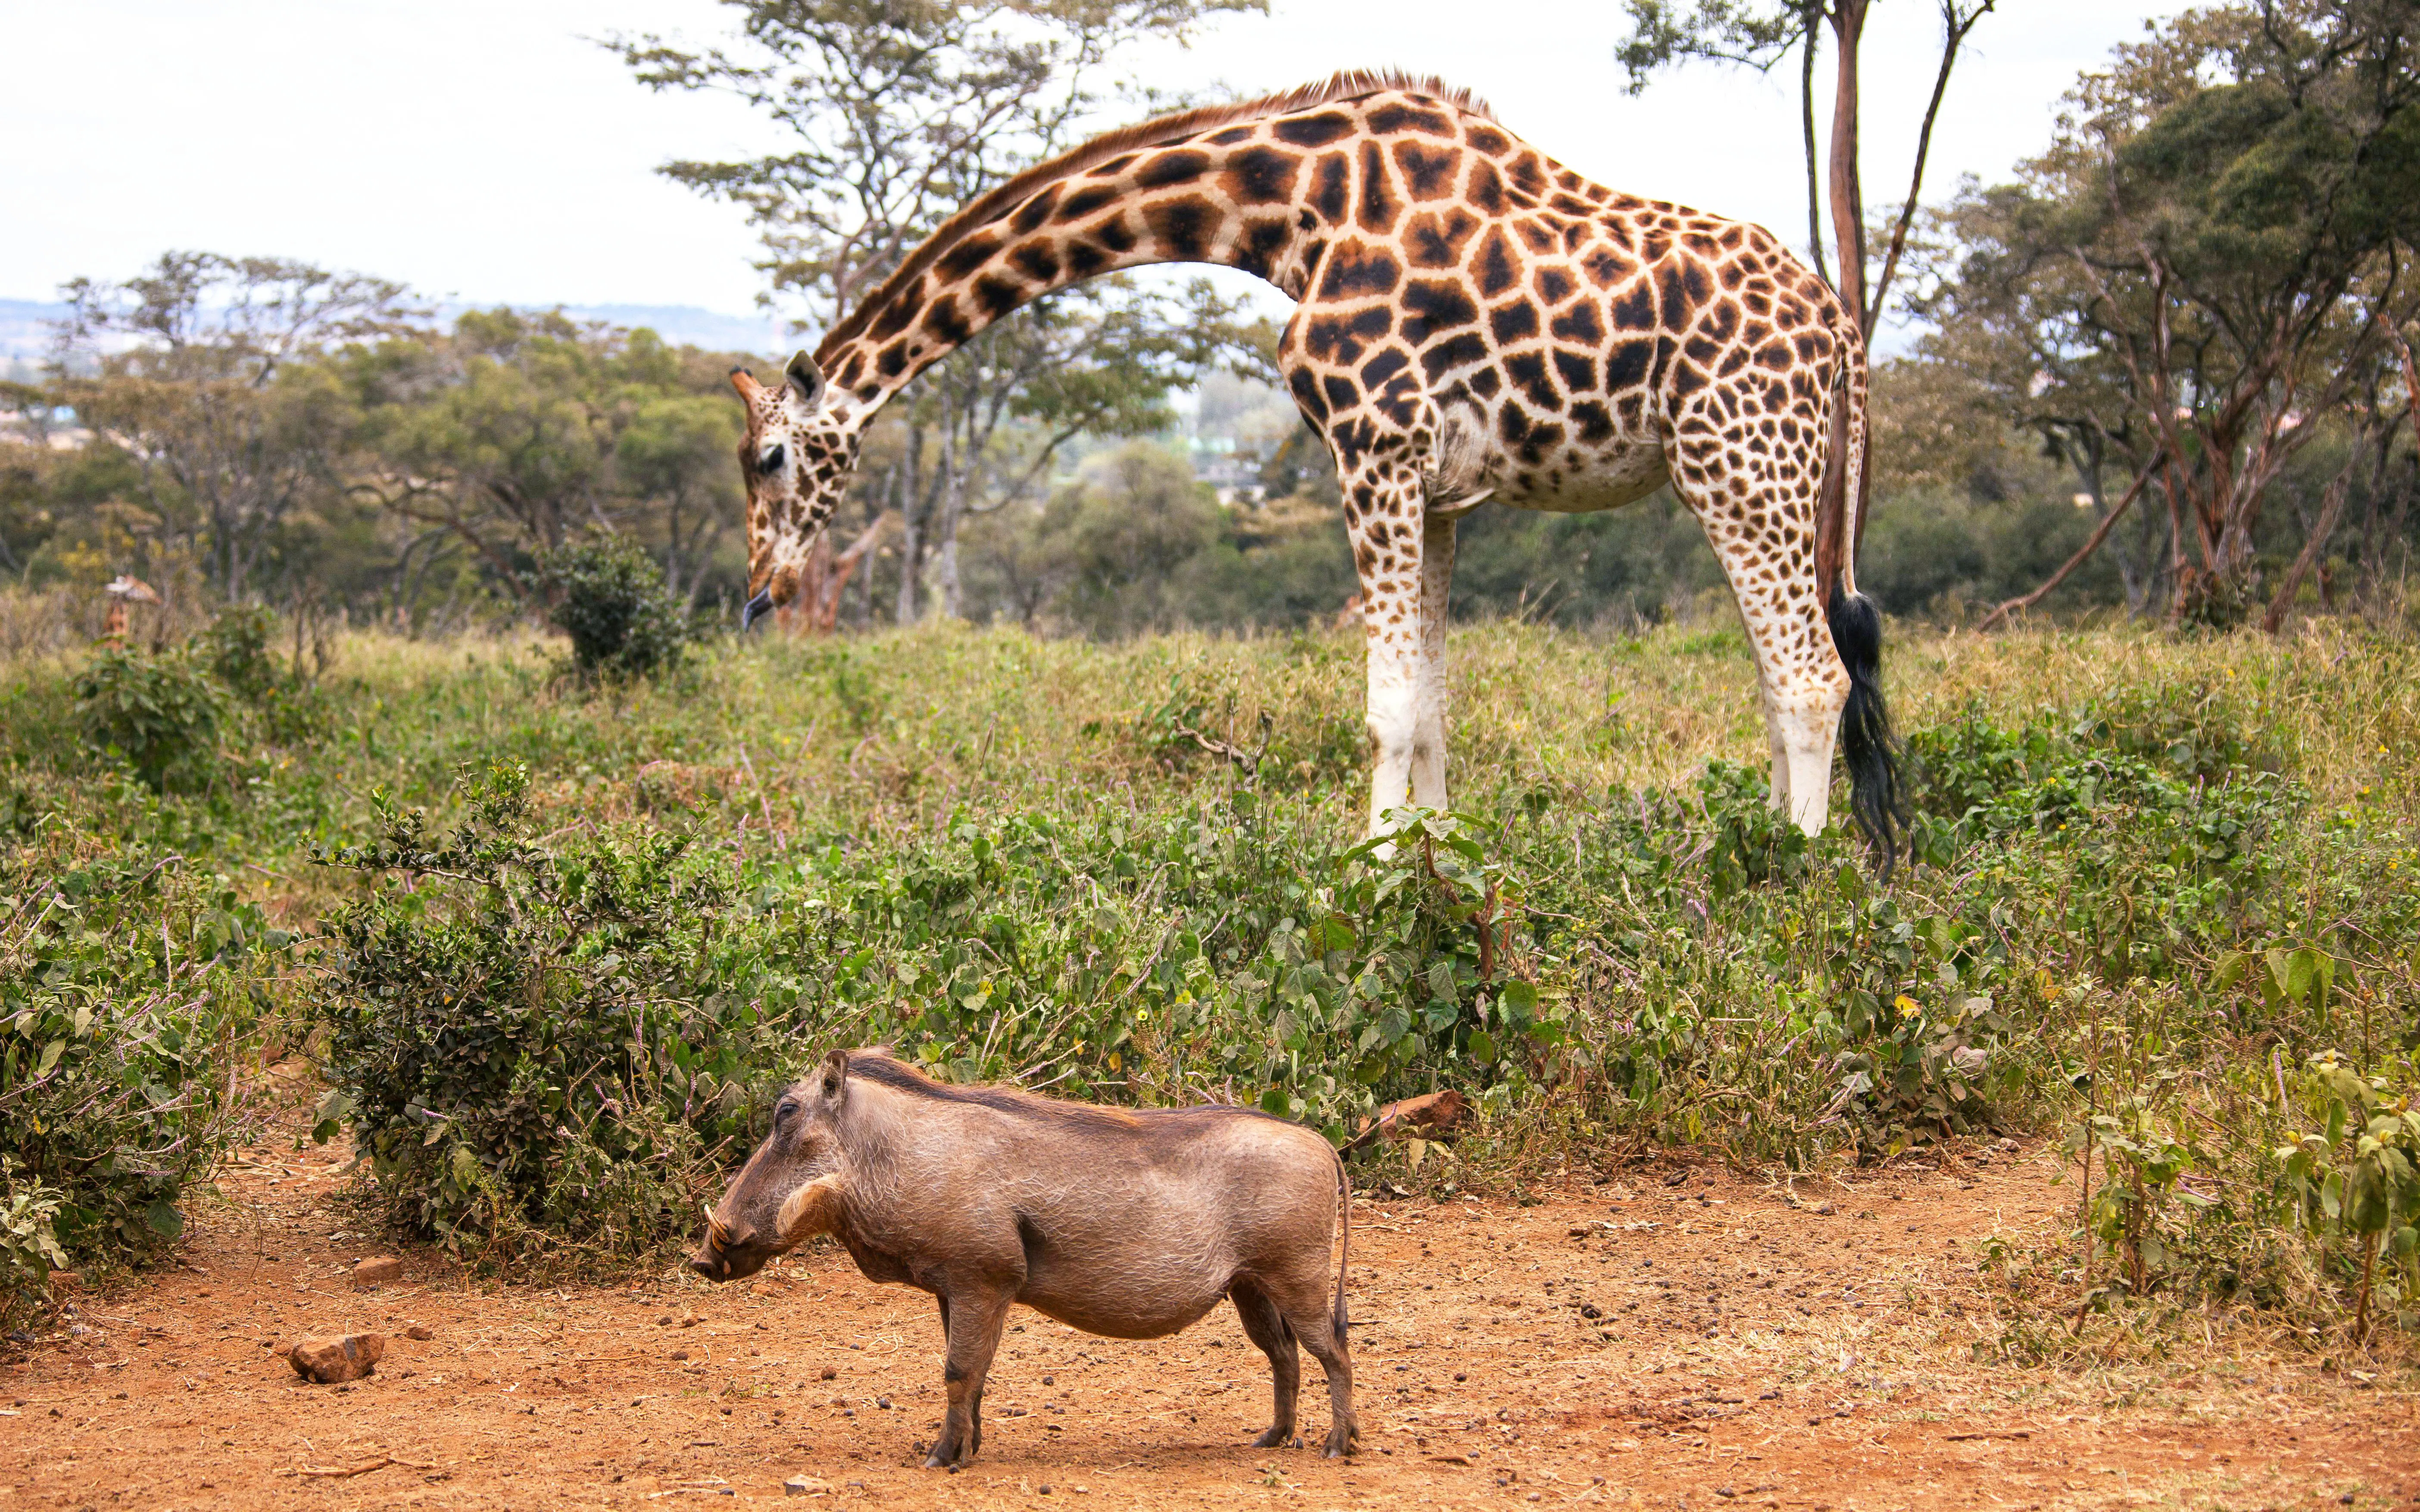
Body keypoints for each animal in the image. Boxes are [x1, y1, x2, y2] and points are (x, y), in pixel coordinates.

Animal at [730, 70, 1902, 853]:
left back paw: (1787, 871)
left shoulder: (1370, 445)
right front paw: (1437, 859)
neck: (1284, 209)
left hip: (1740, 462)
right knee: (1783, 673)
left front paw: (1369, 875)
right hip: (1772, 478)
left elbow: (1387, 705)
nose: (759, 591)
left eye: (772, 457)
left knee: (1810, 675)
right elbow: (1430, 702)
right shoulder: (1438, 488)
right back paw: (1755, 839)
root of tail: (1841, 332)